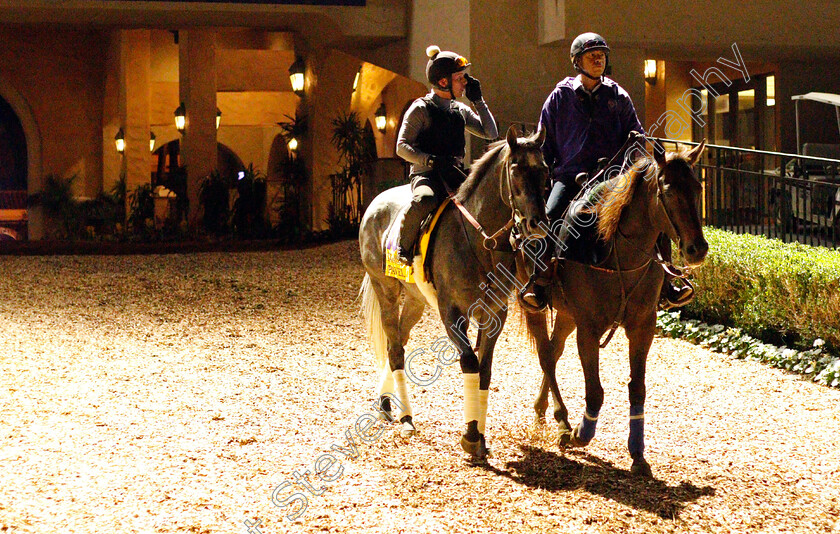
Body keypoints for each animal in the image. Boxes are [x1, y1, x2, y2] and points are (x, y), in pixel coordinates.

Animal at [360, 126, 552, 460]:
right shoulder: (452, 313)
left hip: (415, 300)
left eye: (544, 170)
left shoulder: (494, 313)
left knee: (398, 342)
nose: (536, 224)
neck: (479, 240)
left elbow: (485, 370)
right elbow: (470, 363)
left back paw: (386, 403)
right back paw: (407, 419)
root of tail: (375, 204)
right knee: (395, 349)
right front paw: (471, 436)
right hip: (385, 289)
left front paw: (480, 437)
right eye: (515, 171)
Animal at [524, 139, 708, 478]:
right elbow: (595, 391)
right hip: (539, 309)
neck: (615, 249)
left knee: (553, 353)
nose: (697, 249)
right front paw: (580, 434)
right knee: (546, 355)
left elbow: (637, 388)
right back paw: (562, 421)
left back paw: (545, 411)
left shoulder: (642, 327)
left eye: (697, 187)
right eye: (667, 190)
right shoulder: (588, 329)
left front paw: (637, 453)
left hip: (566, 314)